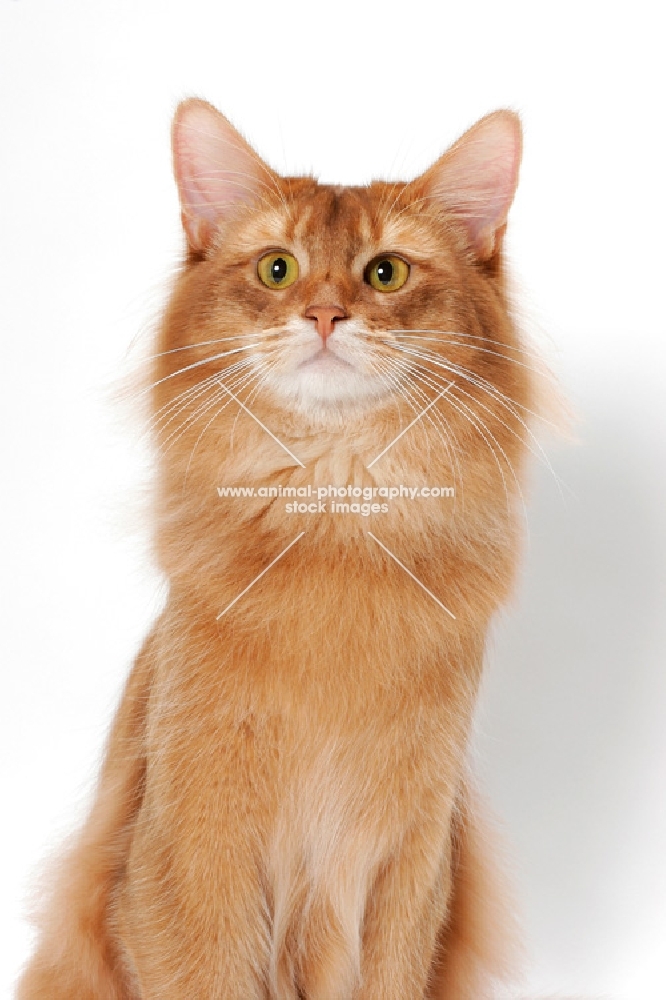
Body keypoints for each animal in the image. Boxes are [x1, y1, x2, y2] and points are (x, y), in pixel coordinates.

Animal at [18, 95, 536, 1000]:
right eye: (277, 270)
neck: (332, 524)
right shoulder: (192, 858)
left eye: (385, 274)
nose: (325, 315)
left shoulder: (410, 861)